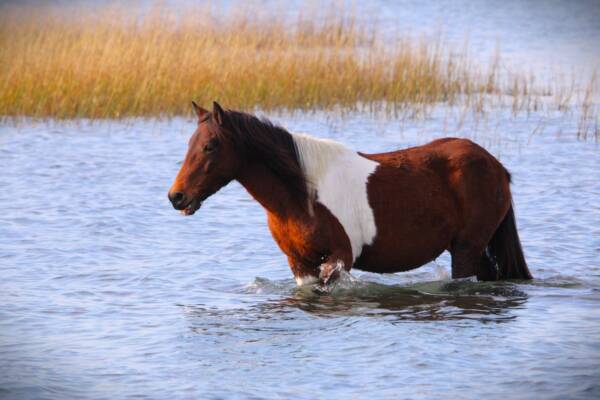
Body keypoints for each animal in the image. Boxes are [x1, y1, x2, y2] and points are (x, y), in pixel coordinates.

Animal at [166, 101, 532, 286]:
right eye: (190, 144)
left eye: (210, 146)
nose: (176, 196)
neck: (303, 196)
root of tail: (495, 165)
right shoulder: (299, 264)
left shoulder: (340, 259)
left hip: (466, 249)